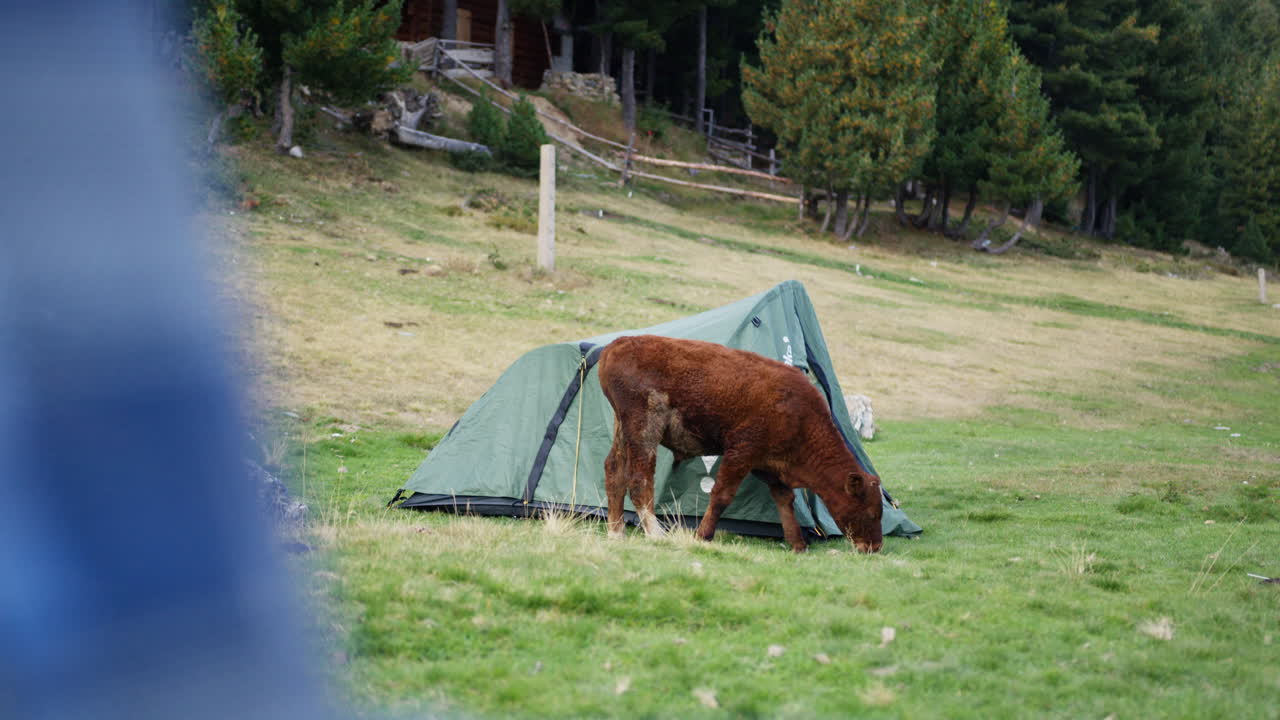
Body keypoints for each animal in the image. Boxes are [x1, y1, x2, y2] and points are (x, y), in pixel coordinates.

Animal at [597, 335, 884, 553]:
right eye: (871, 513)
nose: (874, 547)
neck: (799, 415)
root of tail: (617, 345)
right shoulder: (741, 453)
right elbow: (722, 494)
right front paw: (702, 535)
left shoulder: (769, 466)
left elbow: (785, 500)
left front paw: (797, 544)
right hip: (644, 430)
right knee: (639, 479)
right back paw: (655, 532)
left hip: (623, 428)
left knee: (614, 471)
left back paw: (616, 532)